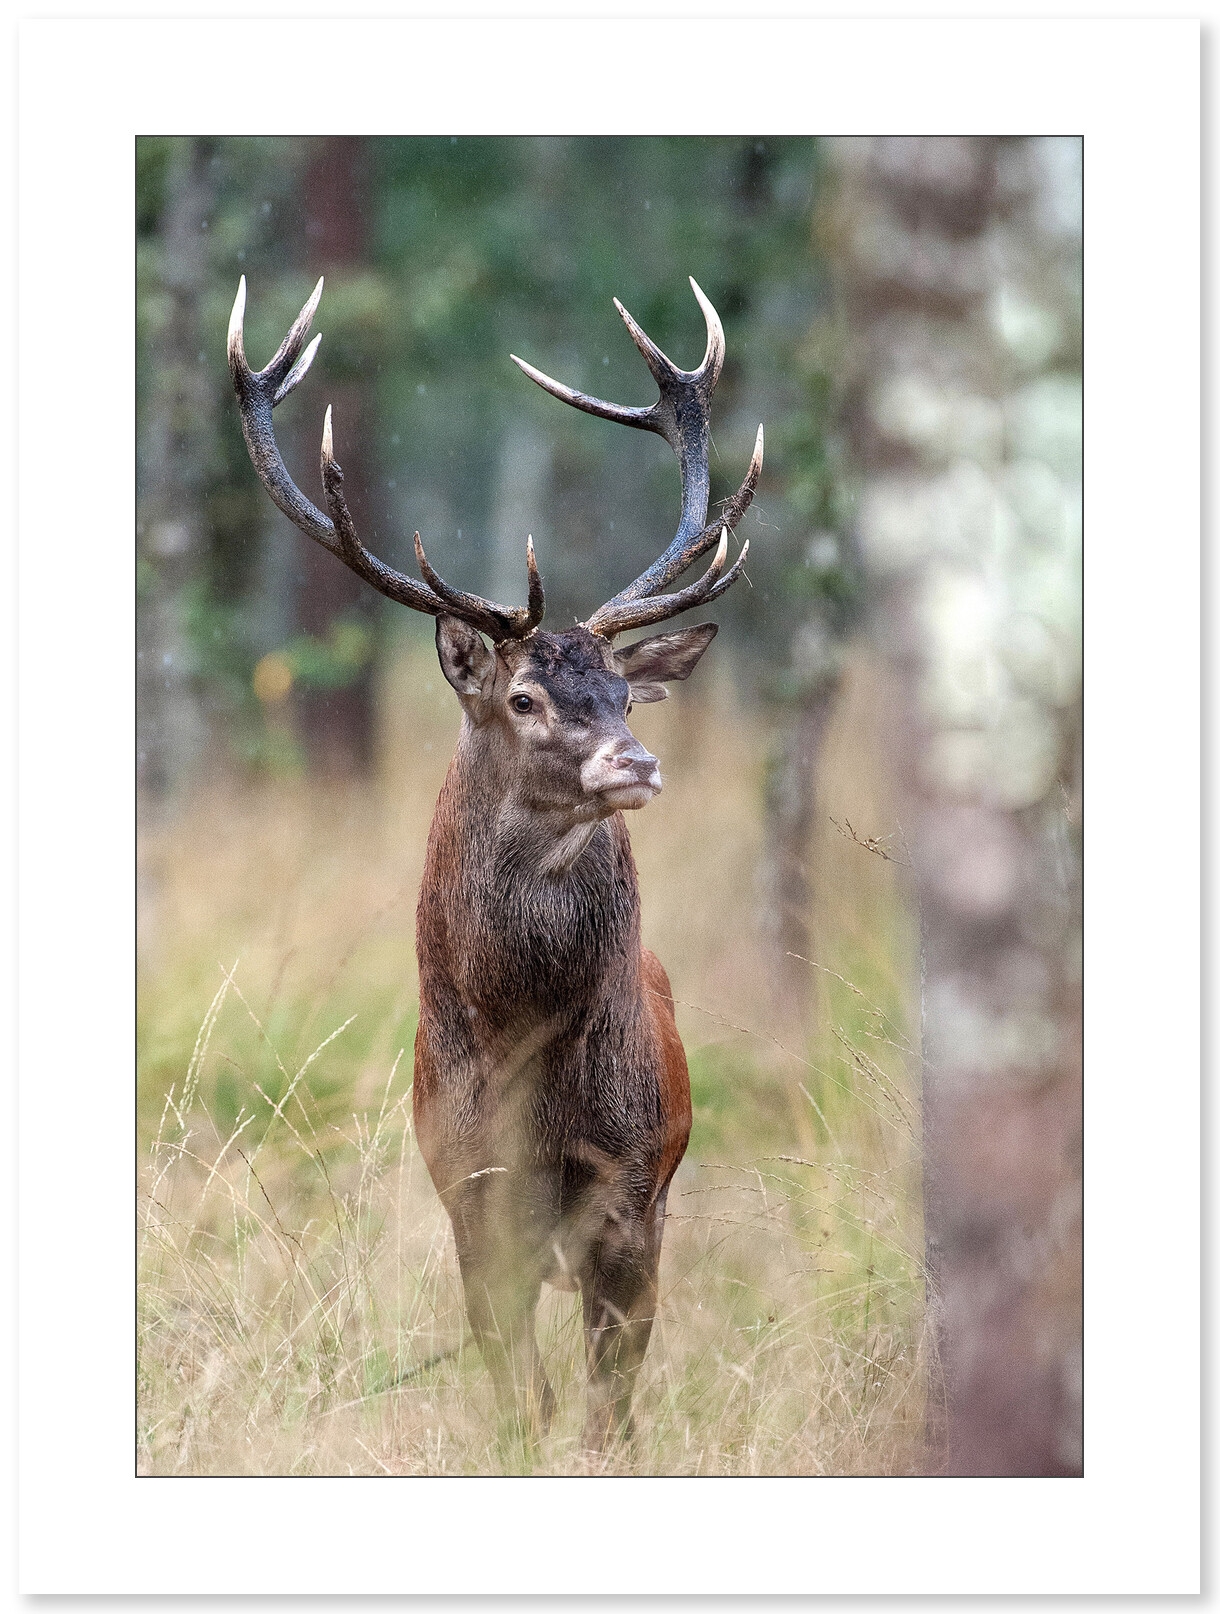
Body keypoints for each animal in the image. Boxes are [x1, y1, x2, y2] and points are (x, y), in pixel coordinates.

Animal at [227, 273, 762, 1452]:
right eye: (523, 698)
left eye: (623, 692)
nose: (636, 760)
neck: (530, 1067)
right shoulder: (472, 1200)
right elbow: (520, 1397)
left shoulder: (630, 1197)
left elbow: (607, 1413)